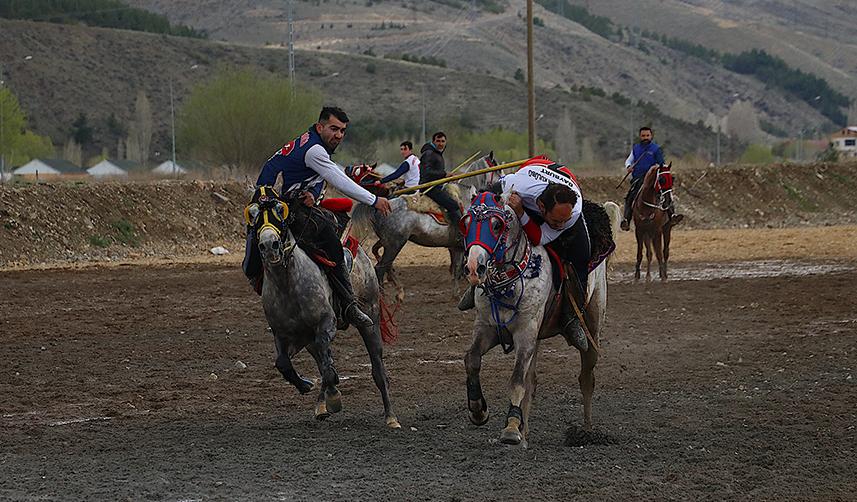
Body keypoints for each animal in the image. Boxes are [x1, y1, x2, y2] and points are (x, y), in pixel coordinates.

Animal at [244, 188, 398, 428]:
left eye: (280, 209)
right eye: (252, 214)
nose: (269, 246)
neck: (288, 285)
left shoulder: (326, 325)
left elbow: (328, 369)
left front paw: (333, 397)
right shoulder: (284, 335)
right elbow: (284, 363)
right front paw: (306, 385)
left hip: (369, 320)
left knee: (378, 371)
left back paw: (391, 417)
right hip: (309, 341)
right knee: (322, 361)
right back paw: (321, 406)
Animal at [458, 190, 620, 446]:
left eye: (497, 225)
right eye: (466, 224)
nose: (475, 267)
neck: (511, 283)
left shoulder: (525, 333)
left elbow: (517, 379)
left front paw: (511, 429)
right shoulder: (487, 329)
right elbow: (472, 360)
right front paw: (478, 410)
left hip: (593, 329)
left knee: (586, 378)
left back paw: (587, 431)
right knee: (531, 382)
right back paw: (525, 433)